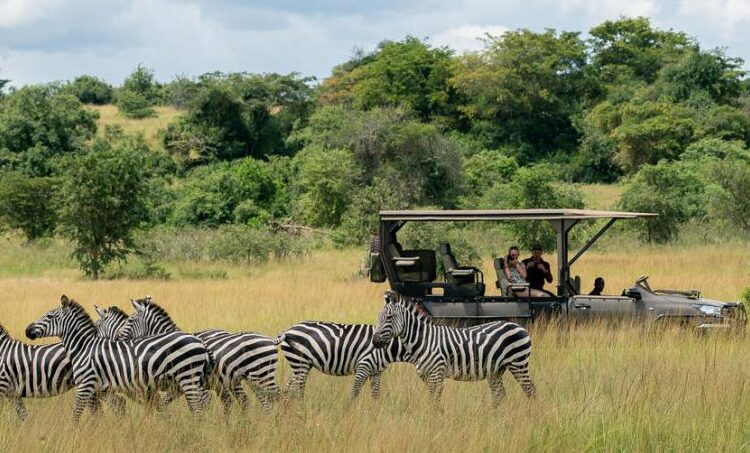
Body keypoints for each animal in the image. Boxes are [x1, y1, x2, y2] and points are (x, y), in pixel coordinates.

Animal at [25, 294, 212, 422]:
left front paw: (73, 434)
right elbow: (115, 409)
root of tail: (199, 342)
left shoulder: (86, 384)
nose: (27, 330)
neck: (84, 347)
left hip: (188, 377)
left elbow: (76, 413)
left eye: (49, 316)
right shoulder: (103, 388)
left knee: (199, 407)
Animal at [114, 294, 282, 412]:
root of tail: (272, 340)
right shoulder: (179, 387)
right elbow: (166, 404)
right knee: (260, 402)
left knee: (279, 397)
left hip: (262, 375)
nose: (116, 338)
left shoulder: (196, 385)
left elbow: (199, 406)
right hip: (251, 379)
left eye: (130, 321)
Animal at [274, 318, 412, 400]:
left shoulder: (377, 372)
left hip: (300, 364)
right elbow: (354, 393)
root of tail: (287, 331)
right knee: (297, 390)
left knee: (290, 388)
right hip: (300, 363)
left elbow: (375, 395)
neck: (388, 346)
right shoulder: (364, 365)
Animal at [374, 292, 536, 404]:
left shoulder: (436, 373)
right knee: (500, 395)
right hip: (496, 370)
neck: (424, 340)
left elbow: (434, 400)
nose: (375, 341)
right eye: (378, 317)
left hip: (518, 364)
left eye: (389, 317)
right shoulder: (427, 375)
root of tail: (519, 326)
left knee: (530, 390)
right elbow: (433, 400)